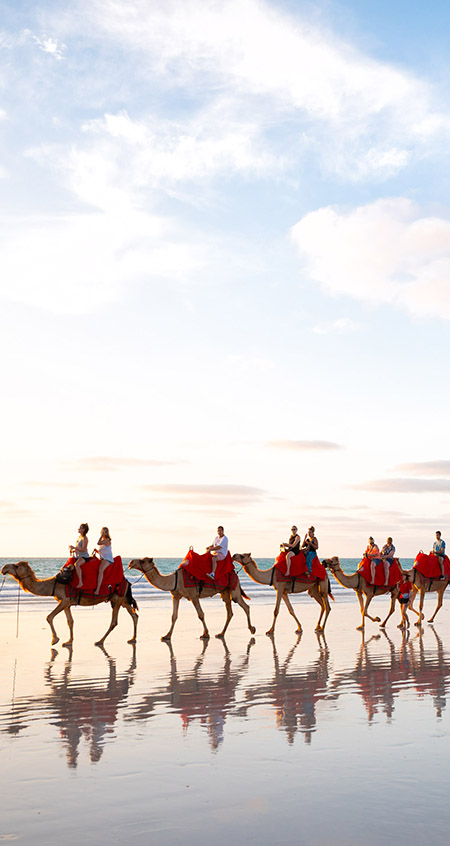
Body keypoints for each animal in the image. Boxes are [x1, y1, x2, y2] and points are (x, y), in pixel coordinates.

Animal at [0, 564, 138, 648]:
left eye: (16, 565)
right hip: (123, 600)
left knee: (114, 621)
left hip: (117, 599)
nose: (4, 568)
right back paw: (132, 639)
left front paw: (55, 640)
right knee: (134, 615)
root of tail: (127, 582)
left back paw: (100, 641)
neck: (53, 584)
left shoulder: (64, 601)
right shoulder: (67, 604)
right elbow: (70, 621)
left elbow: (49, 617)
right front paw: (68, 642)